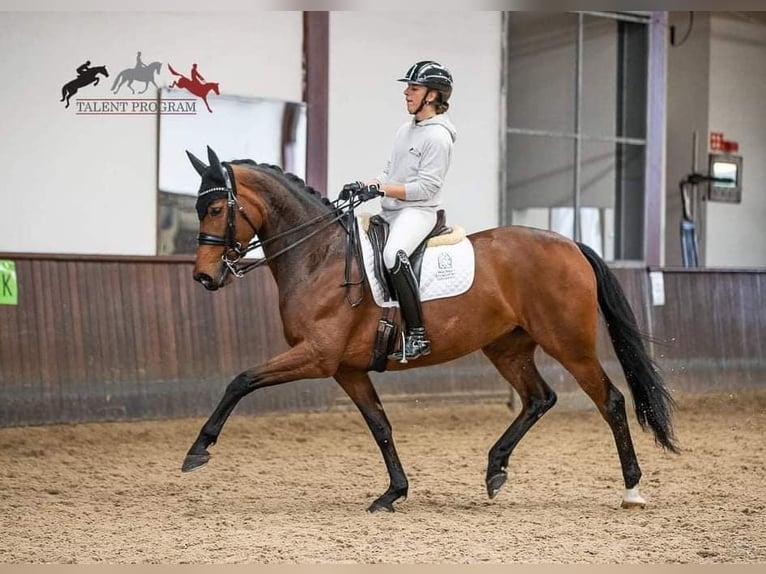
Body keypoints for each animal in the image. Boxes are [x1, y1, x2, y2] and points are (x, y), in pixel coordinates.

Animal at [181, 146, 679, 513]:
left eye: (217, 207)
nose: (204, 277)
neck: (319, 257)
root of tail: (570, 243)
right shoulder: (347, 369)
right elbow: (380, 425)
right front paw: (393, 492)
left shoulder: (318, 356)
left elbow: (241, 380)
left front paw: (198, 449)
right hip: (507, 347)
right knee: (539, 397)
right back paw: (495, 469)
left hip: (568, 343)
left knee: (610, 401)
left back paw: (632, 490)